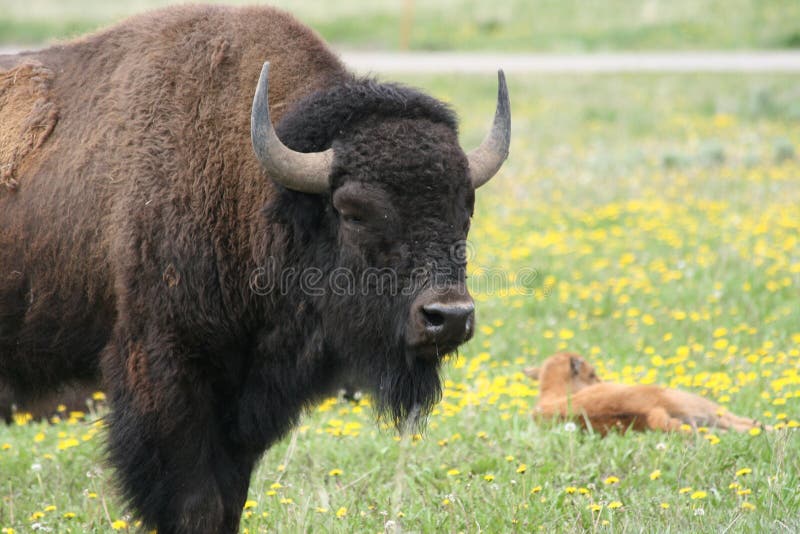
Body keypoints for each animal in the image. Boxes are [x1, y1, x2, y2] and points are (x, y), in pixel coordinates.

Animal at [0, 5, 510, 534]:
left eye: (466, 207)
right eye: (352, 210)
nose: (448, 317)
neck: (252, 186)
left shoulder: (245, 397)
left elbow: (230, 498)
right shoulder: (166, 371)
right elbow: (196, 502)